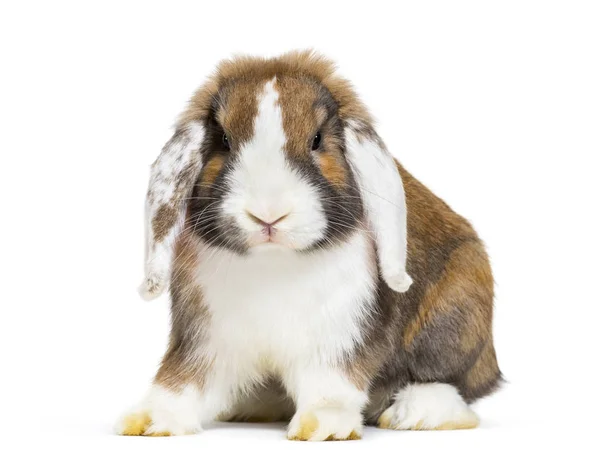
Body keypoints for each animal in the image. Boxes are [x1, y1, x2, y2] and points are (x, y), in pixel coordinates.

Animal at [115, 51, 500, 440]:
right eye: (224, 139)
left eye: (317, 140)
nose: (268, 214)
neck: (272, 265)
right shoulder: (205, 340)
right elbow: (183, 380)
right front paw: (149, 421)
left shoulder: (339, 338)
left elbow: (331, 384)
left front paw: (323, 426)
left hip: (456, 315)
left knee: (449, 385)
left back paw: (416, 413)